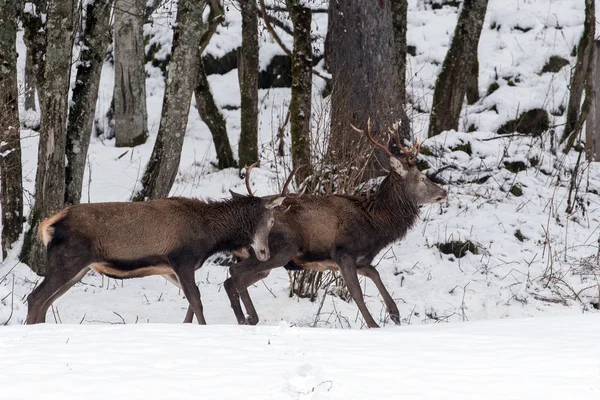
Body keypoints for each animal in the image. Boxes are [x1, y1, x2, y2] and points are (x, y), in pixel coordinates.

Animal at [220, 120, 446, 330]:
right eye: (422, 178)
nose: (444, 192)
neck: (376, 224)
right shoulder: (343, 252)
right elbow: (357, 292)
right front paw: (374, 325)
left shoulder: (356, 259)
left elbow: (375, 273)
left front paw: (395, 314)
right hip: (281, 248)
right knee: (235, 271)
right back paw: (250, 318)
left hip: (263, 256)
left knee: (230, 280)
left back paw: (242, 319)